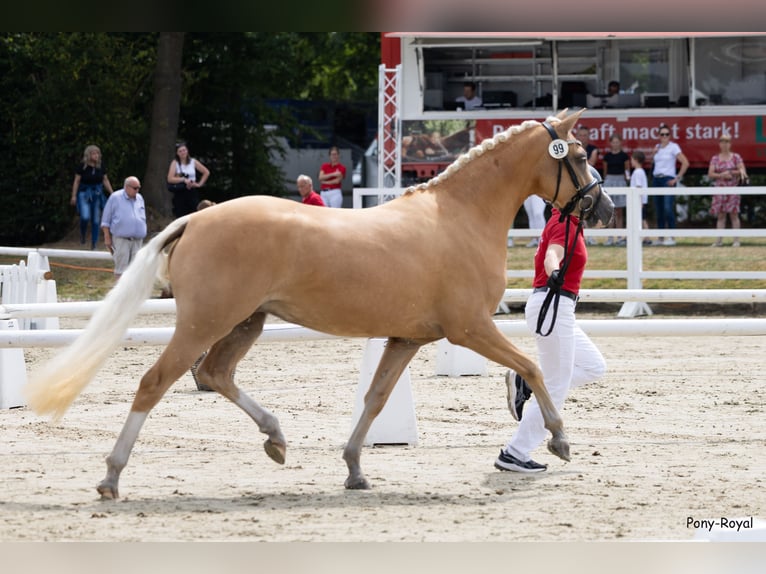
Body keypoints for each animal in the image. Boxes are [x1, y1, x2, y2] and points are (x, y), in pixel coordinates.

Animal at [25, 109, 613, 498]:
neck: (459, 217)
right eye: (582, 156)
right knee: (156, 382)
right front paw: (560, 440)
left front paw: (354, 469)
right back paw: (111, 476)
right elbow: (531, 367)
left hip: (245, 323)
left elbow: (375, 399)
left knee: (215, 374)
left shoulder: (407, 338)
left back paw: (276, 438)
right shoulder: (470, 329)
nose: (604, 207)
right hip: (205, 323)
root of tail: (196, 217)